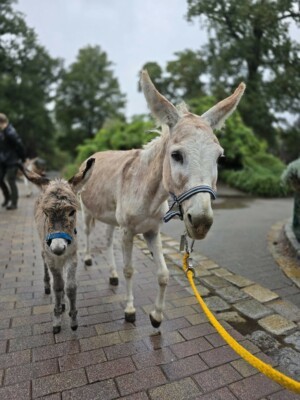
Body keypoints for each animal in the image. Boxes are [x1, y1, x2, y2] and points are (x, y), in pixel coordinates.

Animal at [21, 158, 94, 332]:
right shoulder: (52, 258)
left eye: (72, 212)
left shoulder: (72, 256)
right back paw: (49, 288)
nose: (58, 247)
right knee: (47, 267)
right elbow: (58, 286)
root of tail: (53, 181)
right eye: (46, 213)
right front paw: (57, 319)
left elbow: (70, 287)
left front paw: (73, 319)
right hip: (44, 248)